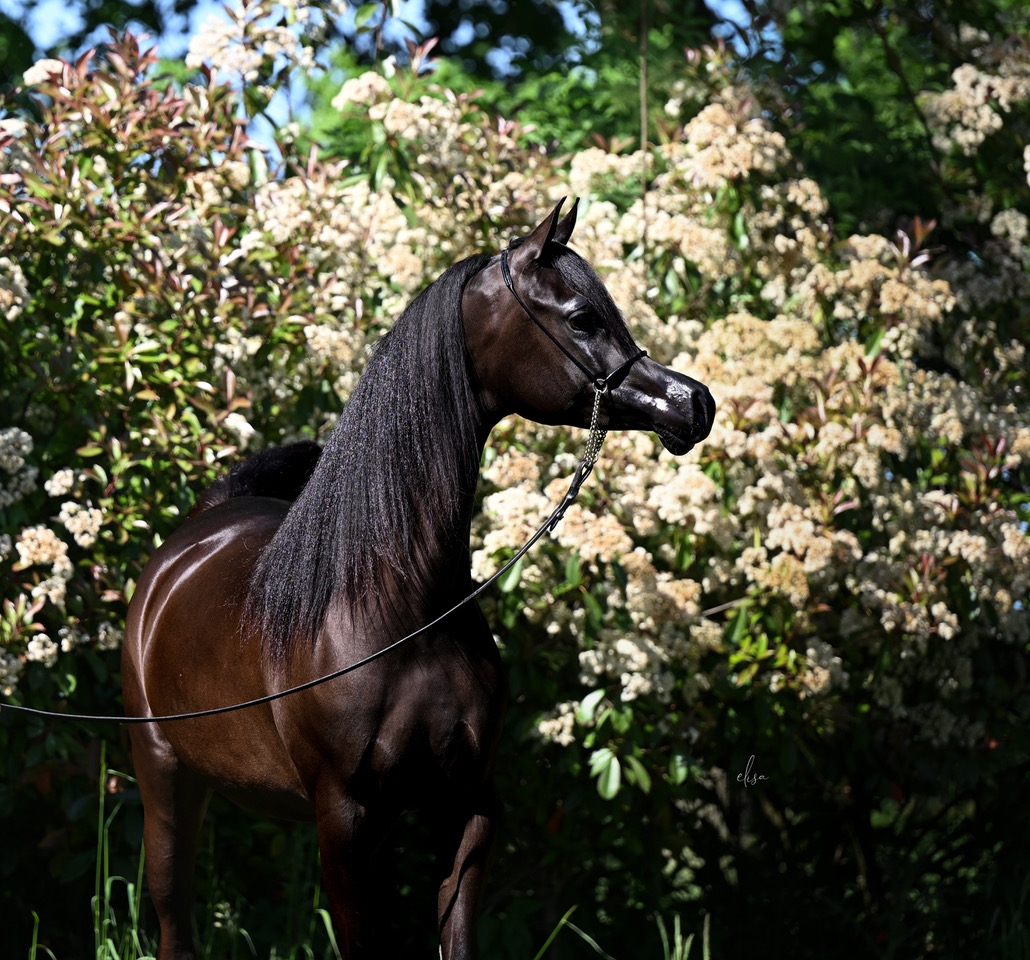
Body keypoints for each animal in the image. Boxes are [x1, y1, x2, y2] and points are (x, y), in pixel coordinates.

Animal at [121, 199, 716, 960]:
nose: (693, 403)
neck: (396, 610)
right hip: (166, 779)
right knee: (175, 918)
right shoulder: (344, 818)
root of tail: (194, 537)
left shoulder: (466, 806)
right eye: (583, 317)